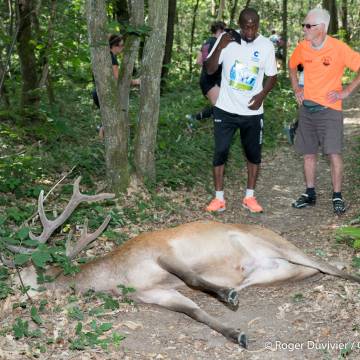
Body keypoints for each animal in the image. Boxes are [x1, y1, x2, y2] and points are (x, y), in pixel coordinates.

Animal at [5, 177, 360, 348]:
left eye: (23, 275)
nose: (12, 300)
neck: (118, 276)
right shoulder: (155, 294)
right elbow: (195, 312)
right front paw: (237, 334)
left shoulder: (161, 251)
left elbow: (192, 277)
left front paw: (228, 296)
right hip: (278, 272)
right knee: (317, 268)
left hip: (276, 242)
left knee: (324, 262)